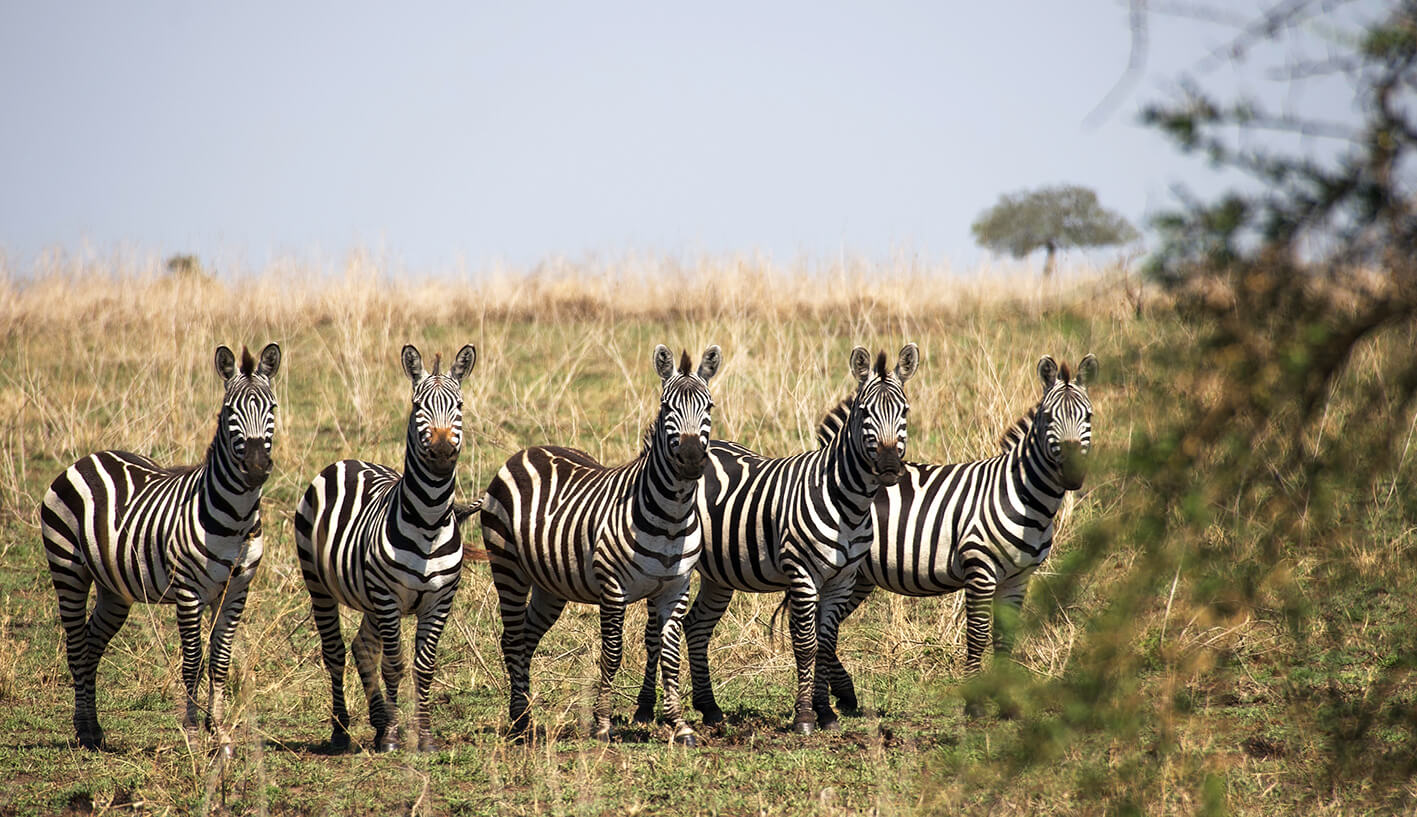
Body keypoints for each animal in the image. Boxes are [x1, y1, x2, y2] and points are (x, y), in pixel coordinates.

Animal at [40, 343, 281, 755]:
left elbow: (219, 661)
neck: (237, 518)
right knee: (75, 646)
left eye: (273, 408)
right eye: (228, 411)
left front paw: (220, 734)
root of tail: (88, 457)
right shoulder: (187, 592)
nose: (255, 467)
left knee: (91, 646)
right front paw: (194, 735)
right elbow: (193, 662)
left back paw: (95, 730)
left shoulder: (237, 591)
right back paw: (84, 731)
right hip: (68, 568)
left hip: (115, 590)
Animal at [294, 343, 475, 753]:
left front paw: (424, 736)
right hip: (320, 584)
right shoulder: (388, 596)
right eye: (417, 405)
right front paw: (393, 736)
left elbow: (424, 666)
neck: (429, 521)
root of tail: (347, 460)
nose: (442, 452)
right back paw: (341, 731)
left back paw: (376, 722)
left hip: (370, 599)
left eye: (458, 405)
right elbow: (394, 664)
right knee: (335, 653)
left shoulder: (440, 600)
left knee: (362, 647)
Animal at [477, 344, 721, 746]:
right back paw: (520, 722)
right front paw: (604, 724)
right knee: (511, 639)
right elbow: (612, 653)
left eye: (709, 406)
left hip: (550, 585)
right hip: (508, 567)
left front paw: (680, 725)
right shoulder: (613, 587)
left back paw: (525, 713)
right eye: (666, 407)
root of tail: (526, 451)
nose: (689, 460)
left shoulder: (676, 587)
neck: (672, 515)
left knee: (526, 639)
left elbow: (671, 657)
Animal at [635, 344, 919, 734]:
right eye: (864, 412)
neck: (847, 501)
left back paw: (710, 708)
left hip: (719, 573)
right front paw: (804, 717)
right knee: (654, 634)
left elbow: (826, 643)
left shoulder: (842, 579)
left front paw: (826, 712)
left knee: (696, 627)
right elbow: (807, 644)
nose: (890, 468)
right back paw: (645, 709)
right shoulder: (802, 574)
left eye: (904, 410)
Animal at [809, 353, 1097, 722]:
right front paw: (974, 705)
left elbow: (1005, 637)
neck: (1022, 495)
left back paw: (845, 694)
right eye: (1049, 417)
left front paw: (1005, 704)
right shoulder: (981, 570)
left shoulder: (1018, 578)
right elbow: (978, 634)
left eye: (1088, 416)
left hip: (859, 576)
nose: (1073, 475)